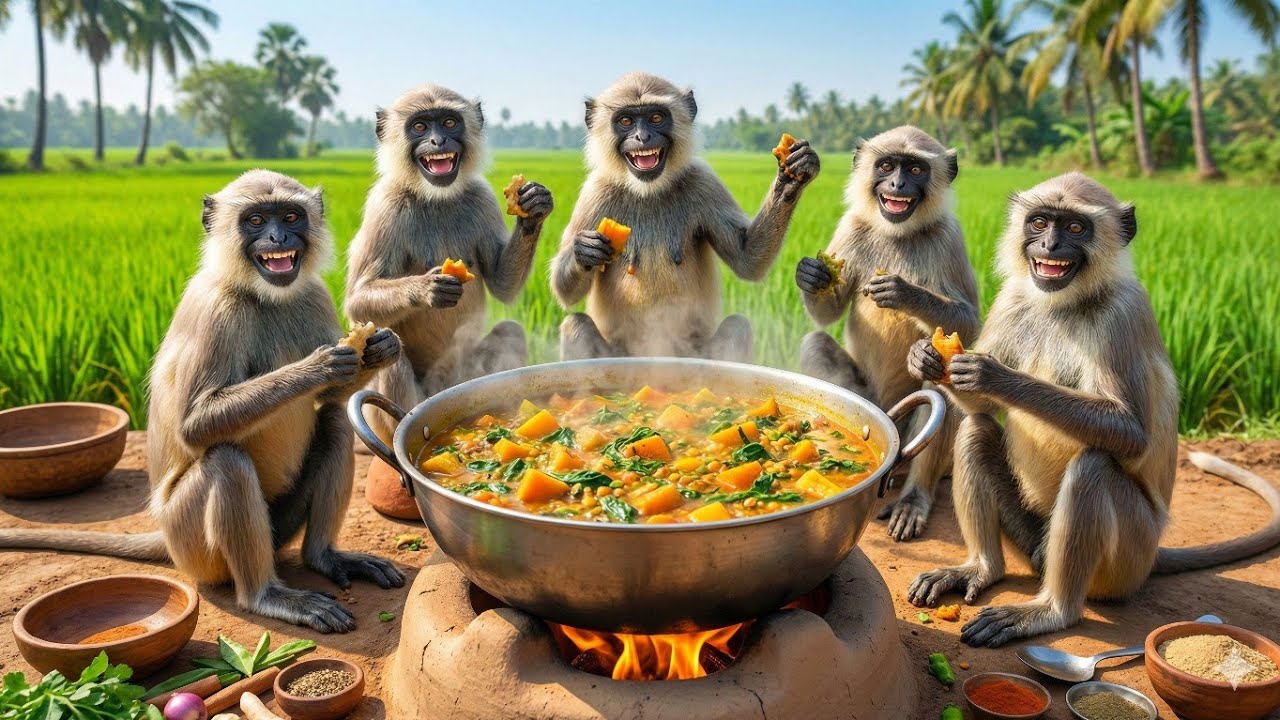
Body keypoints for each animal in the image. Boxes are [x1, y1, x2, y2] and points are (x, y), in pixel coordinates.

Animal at [0, 170, 406, 633]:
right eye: (255, 220)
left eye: (290, 216)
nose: (277, 237)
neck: (260, 294)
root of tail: (166, 536)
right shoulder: (217, 309)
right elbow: (195, 426)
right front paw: (320, 366)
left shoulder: (313, 293)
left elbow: (329, 398)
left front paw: (382, 347)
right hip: (190, 541)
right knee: (226, 461)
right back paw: (266, 595)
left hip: (278, 525)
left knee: (336, 421)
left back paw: (323, 557)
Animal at [345, 84, 553, 443]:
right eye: (419, 126)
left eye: (449, 122)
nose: (438, 141)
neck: (435, 196)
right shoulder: (385, 205)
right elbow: (356, 301)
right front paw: (429, 288)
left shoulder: (481, 196)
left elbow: (502, 284)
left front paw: (533, 209)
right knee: (392, 352)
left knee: (510, 331)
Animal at [551, 71, 820, 361]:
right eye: (626, 121)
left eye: (656, 118)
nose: (642, 137)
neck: (648, 190)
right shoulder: (595, 192)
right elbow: (564, 291)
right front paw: (586, 249)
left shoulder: (703, 181)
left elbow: (747, 260)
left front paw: (792, 178)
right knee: (575, 324)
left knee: (738, 326)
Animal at [794, 126, 978, 542]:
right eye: (887, 166)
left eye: (915, 168)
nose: (897, 184)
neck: (898, 232)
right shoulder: (851, 226)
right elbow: (826, 314)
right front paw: (812, 275)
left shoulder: (949, 236)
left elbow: (970, 322)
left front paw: (901, 292)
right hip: (869, 396)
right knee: (813, 343)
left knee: (942, 378)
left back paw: (913, 497)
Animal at [904, 172, 1280, 647]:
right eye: (1040, 222)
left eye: (1075, 228)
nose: (1049, 246)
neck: (1066, 303)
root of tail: (1152, 555)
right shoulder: (1013, 298)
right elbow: (978, 405)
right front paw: (925, 357)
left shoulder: (1124, 313)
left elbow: (1130, 433)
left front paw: (991, 375)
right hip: (1034, 540)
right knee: (975, 428)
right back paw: (983, 568)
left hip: (1128, 558)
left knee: (1093, 468)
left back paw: (1052, 611)